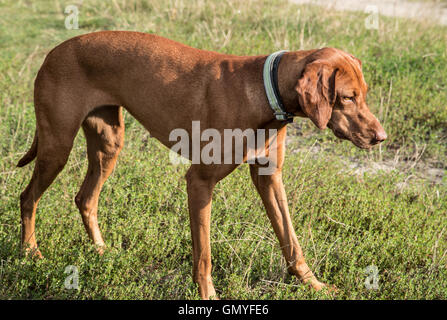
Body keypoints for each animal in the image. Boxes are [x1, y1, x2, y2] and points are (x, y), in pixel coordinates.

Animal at [17, 31, 386, 298]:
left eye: (365, 93)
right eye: (347, 97)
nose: (380, 137)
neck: (264, 92)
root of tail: (54, 51)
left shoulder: (270, 178)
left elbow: (291, 240)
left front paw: (315, 285)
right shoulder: (199, 182)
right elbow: (205, 255)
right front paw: (208, 295)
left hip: (108, 145)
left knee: (86, 198)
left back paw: (101, 251)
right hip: (57, 146)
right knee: (27, 197)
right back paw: (30, 253)